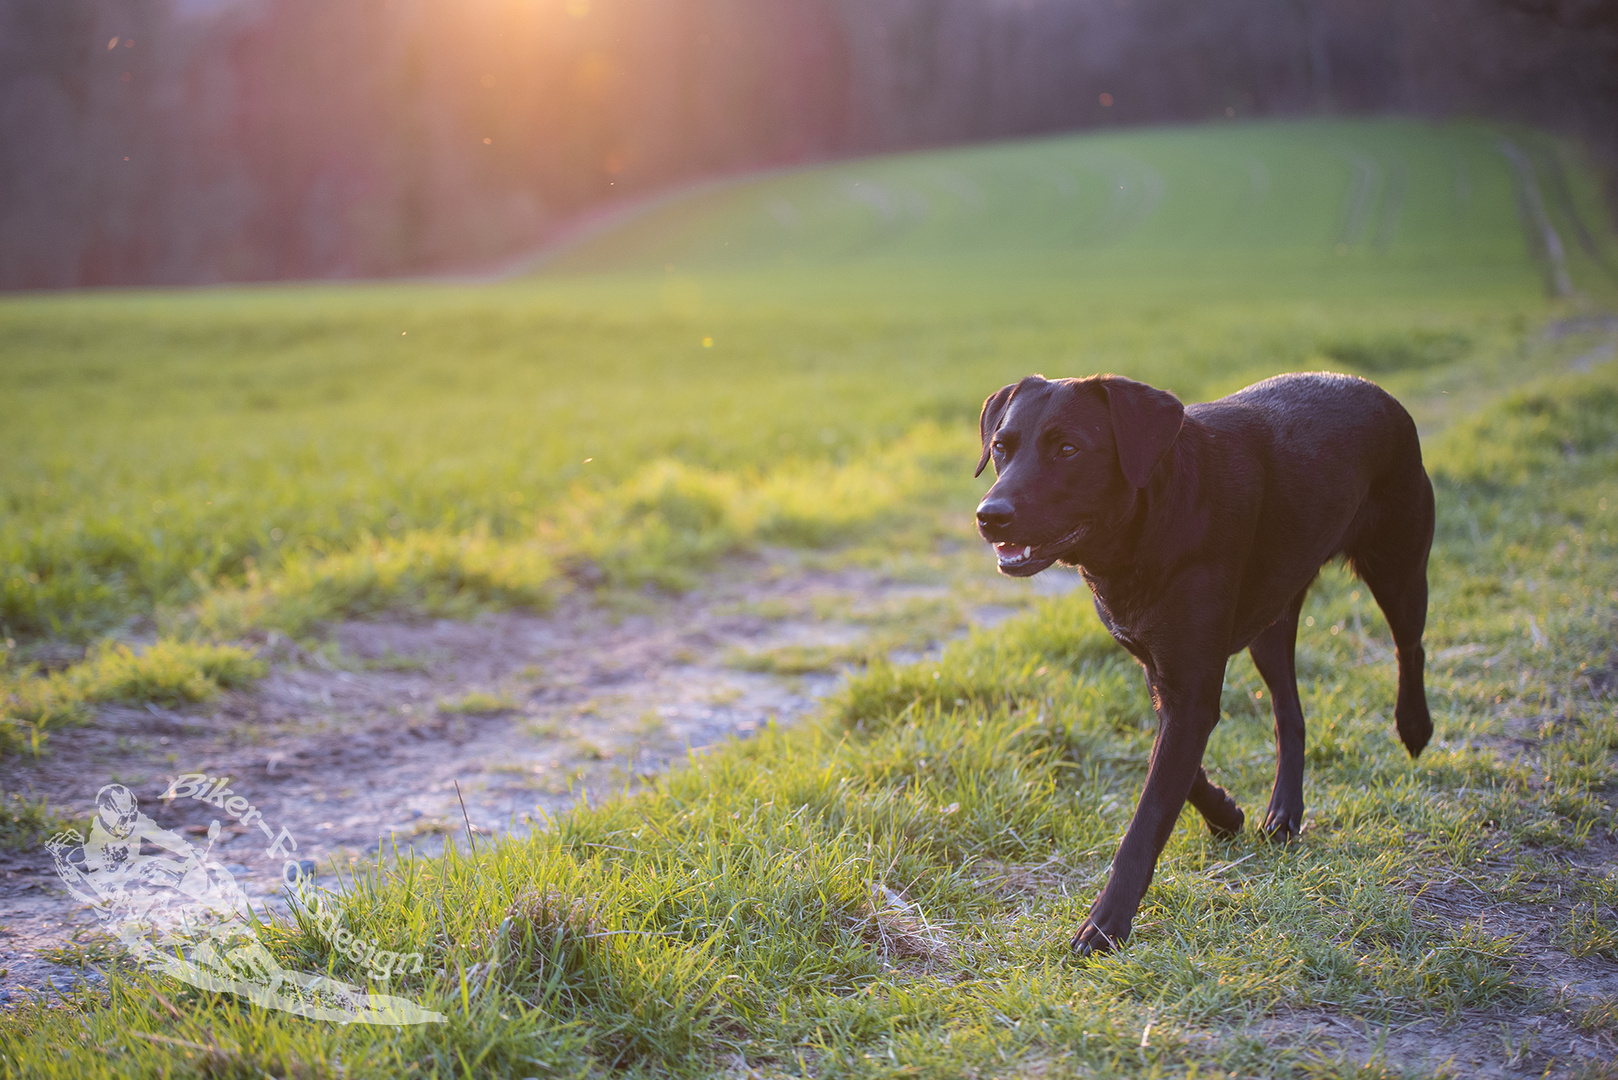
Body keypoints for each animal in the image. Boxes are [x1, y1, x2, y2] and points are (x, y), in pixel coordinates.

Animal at [977, 372, 1436, 952]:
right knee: (1289, 714)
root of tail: (1374, 389)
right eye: (1000, 447)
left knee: (1410, 646)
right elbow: (1175, 771)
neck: (1143, 531)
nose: (989, 516)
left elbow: (1149, 815)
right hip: (1272, 624)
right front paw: (1225, 813)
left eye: (1068, 449)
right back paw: (1284, 813)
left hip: (1398, 567)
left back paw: (1414, 727)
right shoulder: (1164, 672)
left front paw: (1105, 925)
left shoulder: (1190, 689)